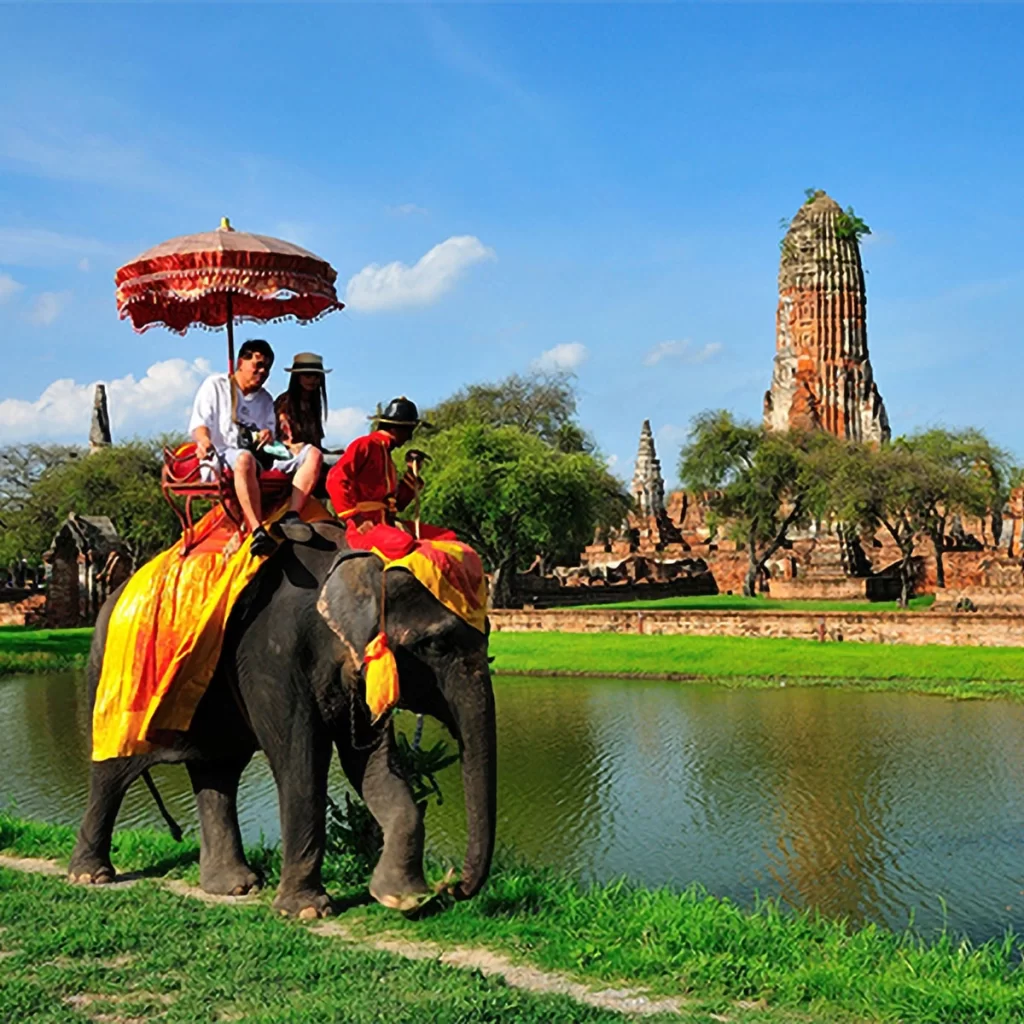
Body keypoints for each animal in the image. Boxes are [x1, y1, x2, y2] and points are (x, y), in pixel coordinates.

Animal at [68, 524, 495, 917]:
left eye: (490, 631)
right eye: (436, 643)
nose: (453, 887)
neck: (354, 559)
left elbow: (371, 763)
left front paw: (402, 898)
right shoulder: (274, 655)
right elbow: (300, 759)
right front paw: (306, 911)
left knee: (218, 773)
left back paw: (235, 886)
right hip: (108, 683)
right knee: (111, 775)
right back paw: (91, 876)